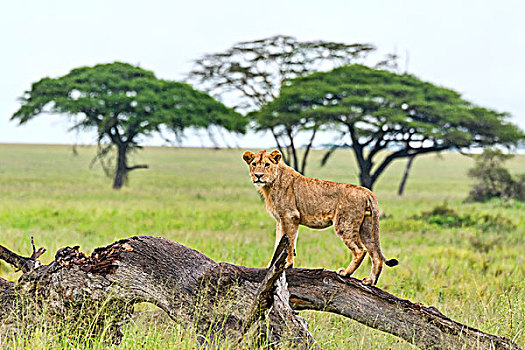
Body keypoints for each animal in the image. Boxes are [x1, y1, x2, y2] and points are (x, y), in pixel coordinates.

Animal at [243, 149, 398, 286]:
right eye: (254, 164)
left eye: (267, 164)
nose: (258, 175)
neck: (270, 184)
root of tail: (366, 191)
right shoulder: (280, 220)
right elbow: (278, 243)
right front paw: (272, 264)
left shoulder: (290, 216)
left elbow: (290, 242)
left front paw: (287, 264)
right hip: (366, 227)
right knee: (376, 255)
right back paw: (370, 281)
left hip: (345, 224)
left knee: (361, 250)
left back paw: (346, 273)